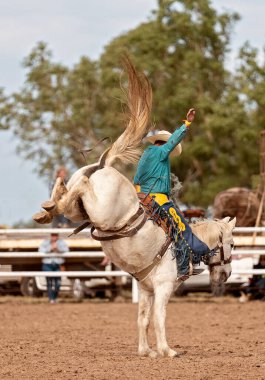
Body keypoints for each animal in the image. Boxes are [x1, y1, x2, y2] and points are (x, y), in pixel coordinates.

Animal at [33, 57, 235, 360]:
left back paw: (49, 204)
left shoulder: (147, 288)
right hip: (102, 210)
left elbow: (143, 317)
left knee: (70, 193)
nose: (227, 274)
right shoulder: (163, 287)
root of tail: (103, 165)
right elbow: (159, 318)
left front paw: (146, 351)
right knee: (81, 186)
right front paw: (167, 350)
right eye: (232, 244)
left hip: (82, 210)